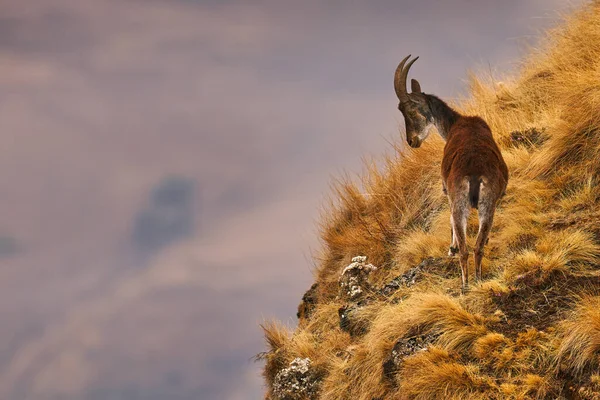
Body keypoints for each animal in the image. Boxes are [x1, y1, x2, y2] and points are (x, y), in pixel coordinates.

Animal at [396, 54, 508, 292]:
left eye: (409, 111)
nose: (412, 141)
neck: (456, 123)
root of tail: (474, 175)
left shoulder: (446, 189)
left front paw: (451, 247)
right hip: (488, 205)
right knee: (478, 247)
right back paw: (478, 279)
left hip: (459, 203)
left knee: (465, 248)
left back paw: (465, 284)